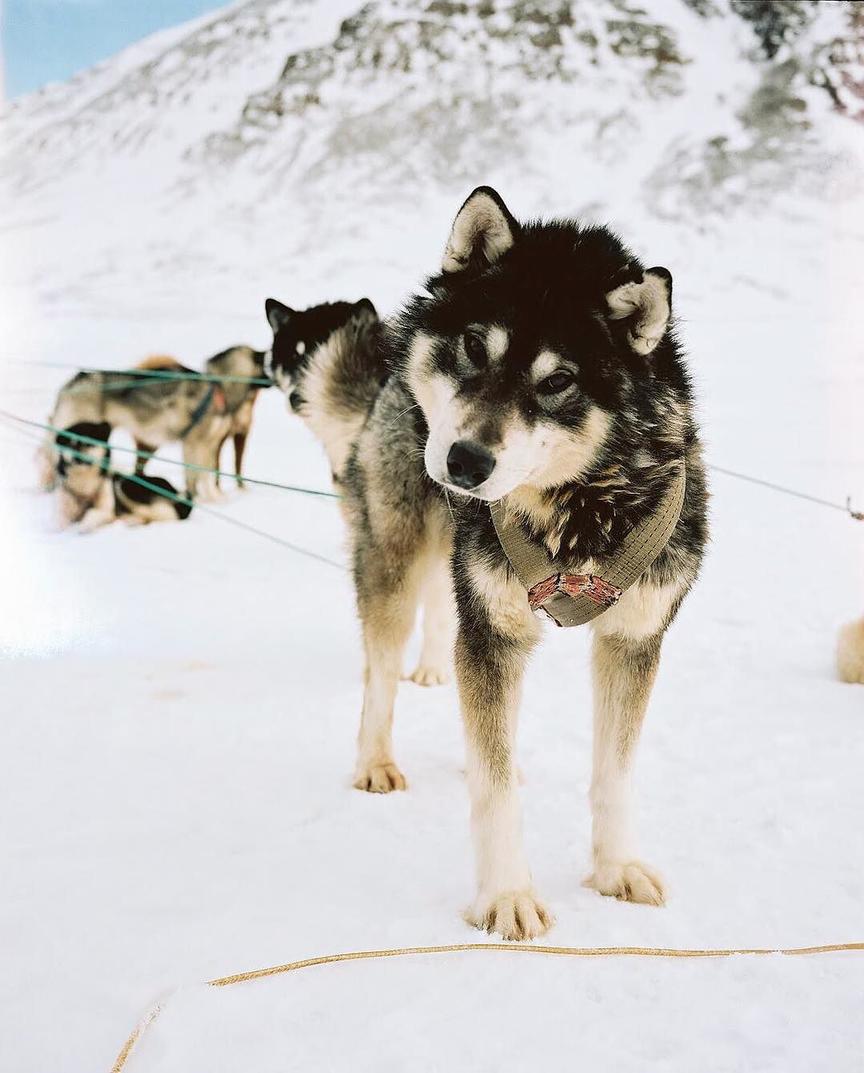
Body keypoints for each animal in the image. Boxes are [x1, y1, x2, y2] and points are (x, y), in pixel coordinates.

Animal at [53, 422, 189, 532]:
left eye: (89, 443)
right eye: (70, 444)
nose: (78, 457)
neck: (84, 486)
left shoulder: (106, 510)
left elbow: (92, 513)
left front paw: (82, 526)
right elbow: (59, 521)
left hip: (124, 485)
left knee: (164, 515)